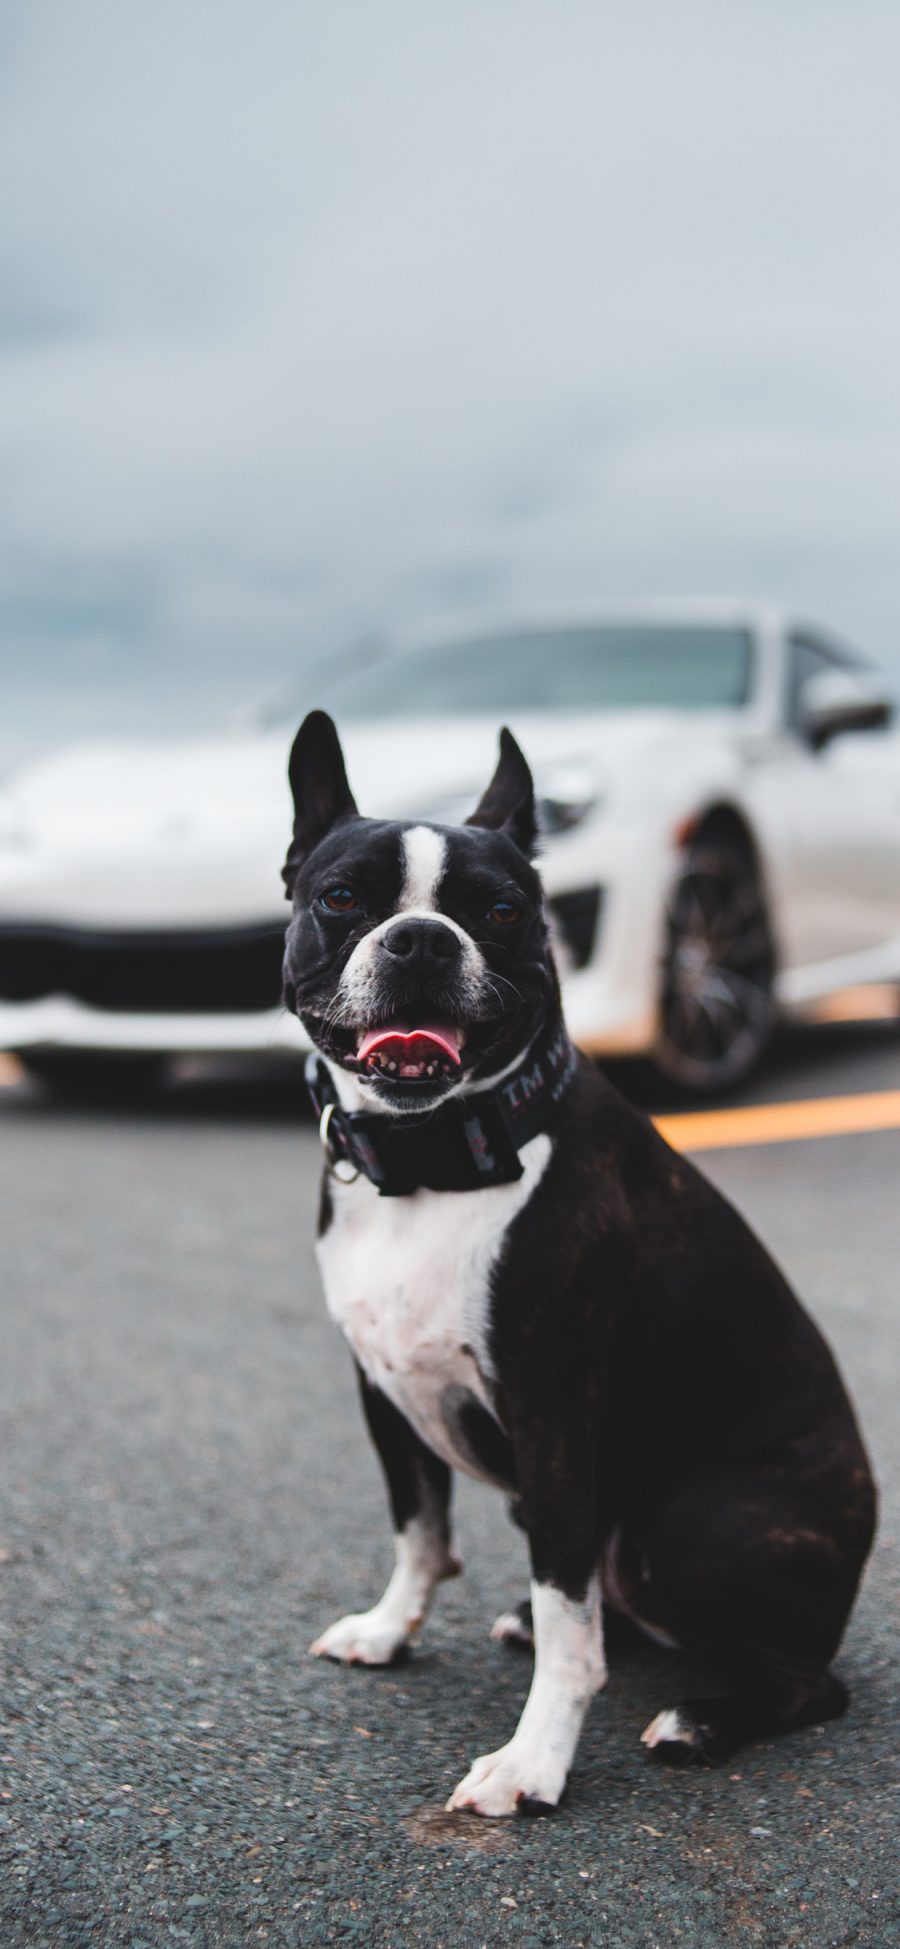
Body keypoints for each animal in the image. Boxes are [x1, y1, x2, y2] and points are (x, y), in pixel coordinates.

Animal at [280, 709, 872, 1816]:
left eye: (503, 910)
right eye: (341, 898)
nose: (422, 937)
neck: (435, 1160)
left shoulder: (553, 1415)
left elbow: (569, 1621)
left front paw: (532, 1761)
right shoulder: (384, 1392)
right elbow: (420, 1528)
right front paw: (389, 1628)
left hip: (685, 1520)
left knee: (807, 1677)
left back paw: (700, 1719)